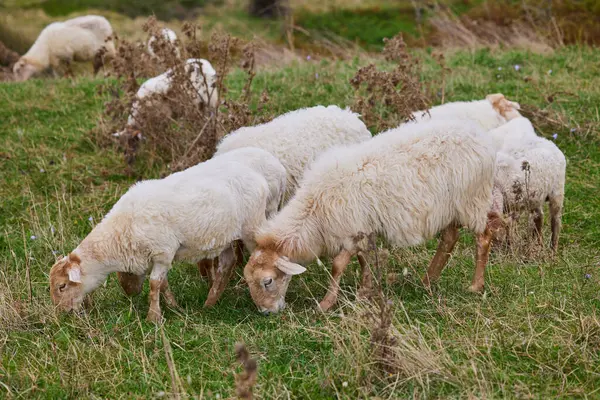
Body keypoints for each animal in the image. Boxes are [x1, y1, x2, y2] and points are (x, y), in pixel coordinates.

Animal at [49, 147, 286, 322]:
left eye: (62, 286)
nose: (61, 314)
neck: (120, 233)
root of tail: (273, 169)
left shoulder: (162, 251)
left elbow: (155, 284)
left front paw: (154, 317)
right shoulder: (156, 257)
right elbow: (163, 284)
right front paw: (174, 307)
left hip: (253, 224)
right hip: (226, 235)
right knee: (227, 263)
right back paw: (210, 303)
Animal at [243, 120, 502, 314]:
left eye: (267, 281)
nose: (266, 313)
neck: (313, 211)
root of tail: (480, 137)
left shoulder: (351, 229)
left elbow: (338, 265)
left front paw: (326, 304)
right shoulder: (363, 229)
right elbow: (364, 259)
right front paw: (365, 291)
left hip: (472, 199)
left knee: (483, 237)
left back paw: (475, 285)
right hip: (449, 207)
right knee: (449, 238)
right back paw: (428, 280)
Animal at [486, 117, 564, 252]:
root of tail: (546, 141)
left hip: (557, 191)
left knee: (556, 220)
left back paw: (553, 250)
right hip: (535, 196)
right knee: (539, 216)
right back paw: (539, 244)